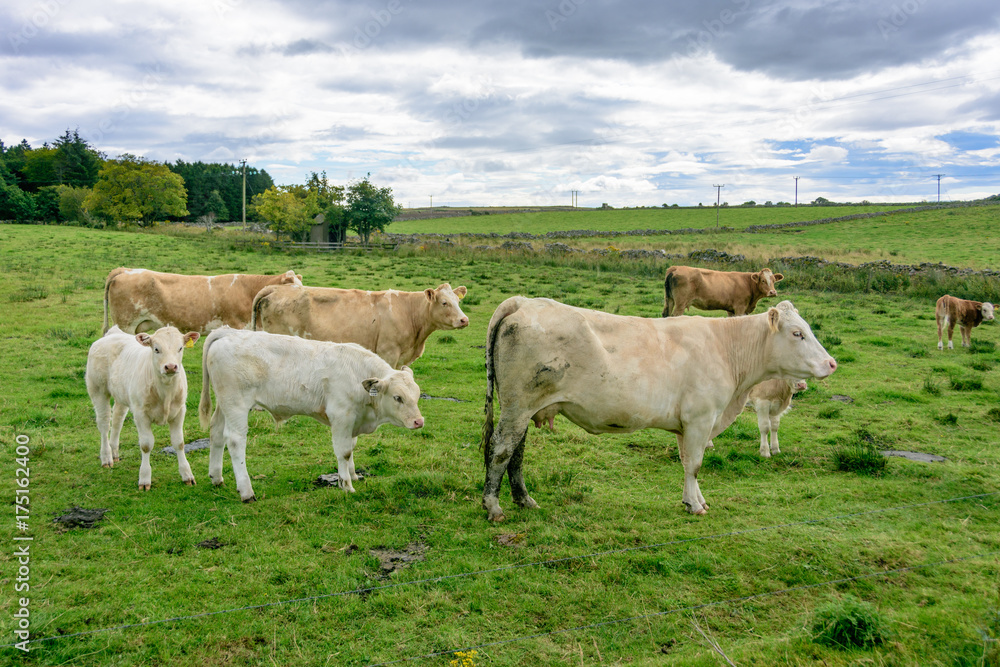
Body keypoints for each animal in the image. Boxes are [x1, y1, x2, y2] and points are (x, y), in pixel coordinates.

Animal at [87, 324, 202, 488]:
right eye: (156, 349)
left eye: (180, 348)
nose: (171, 367)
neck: (165, 391)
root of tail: (112, 334)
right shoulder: (141, 414)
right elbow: (146, 445)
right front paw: (145, 478)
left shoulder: (179, 411)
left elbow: (179, 443)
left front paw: (187, 475)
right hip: (98, 390)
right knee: (104, 424)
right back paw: (106, 457)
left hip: (122, 395)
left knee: (117, 420)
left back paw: (114, 452)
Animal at [201, 326, 424, 504]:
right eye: (397, 397)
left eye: (417, 395)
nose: (419, 421)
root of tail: (229, 332)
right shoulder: (341, 416)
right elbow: (344, 452)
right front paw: (346, 485)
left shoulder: (353, 421)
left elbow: (351, 448)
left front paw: (353, 475)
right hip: (236, 404)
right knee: (235, 440)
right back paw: (247, 492)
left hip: (224, 404)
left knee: (217, 432)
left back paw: (216, 477)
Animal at [478, 298, 836, 520]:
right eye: (797, 333)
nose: (831, 363)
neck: (727, 349)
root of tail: (524, 302)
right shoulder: (701, 418)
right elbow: (695, 464)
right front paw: (695, 505)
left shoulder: (688, 424)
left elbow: (688, 463)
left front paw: (696, 499)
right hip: (517, 407)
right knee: (501, 449)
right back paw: (494, 507)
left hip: (523, 409)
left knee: (516, 453)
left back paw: (524, 499)